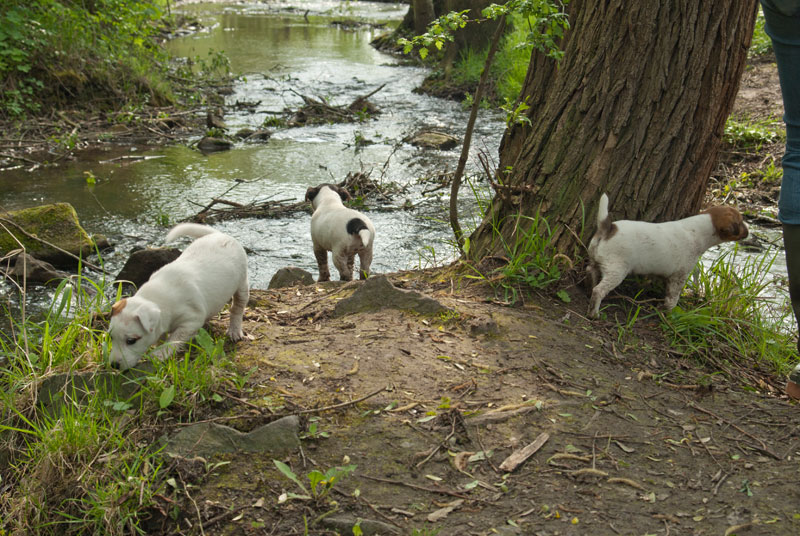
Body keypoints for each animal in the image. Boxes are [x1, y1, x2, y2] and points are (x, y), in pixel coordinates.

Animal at [108, 224, 248, 370]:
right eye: (111, 337)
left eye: (131, 341)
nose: (114, 365)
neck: (157, 299)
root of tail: (220, 234)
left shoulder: (191, 321)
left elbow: (173, 339)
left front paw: (159, 354)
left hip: (242, 284)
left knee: (237, 307)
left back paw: (234, 330)